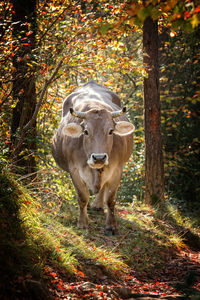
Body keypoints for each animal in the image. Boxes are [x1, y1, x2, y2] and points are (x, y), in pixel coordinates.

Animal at [52, 80, 135, 234]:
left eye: (110, 131)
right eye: (86, 131)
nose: (99, 157)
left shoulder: (117, 169)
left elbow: (111, 199)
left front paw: (111, 225)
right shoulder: (74, 170)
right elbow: (82, 197)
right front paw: (82, 223)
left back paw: (97, 204)